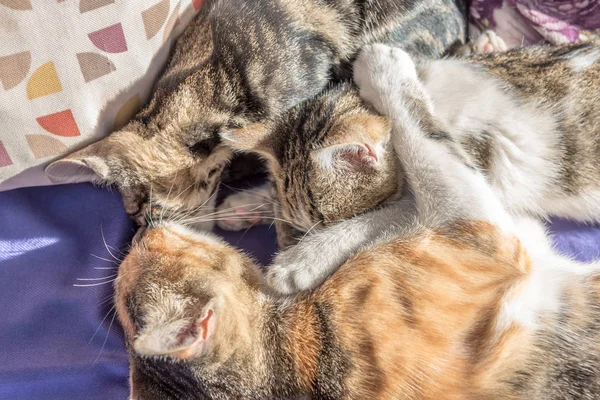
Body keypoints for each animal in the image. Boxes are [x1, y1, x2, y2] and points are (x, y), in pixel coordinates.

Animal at [219, 39, 600, 292]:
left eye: (326, 224)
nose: (292, 242)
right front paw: (245, 205)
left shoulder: (469, 184)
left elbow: (379, 218)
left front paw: (303, 260)